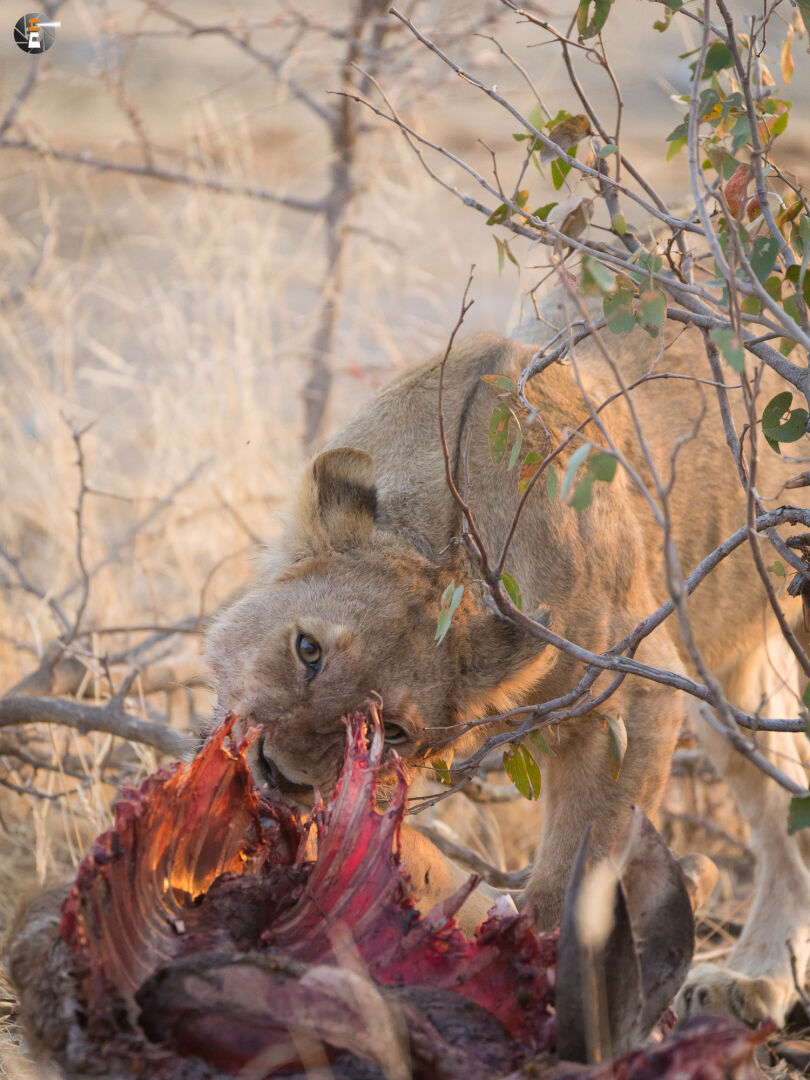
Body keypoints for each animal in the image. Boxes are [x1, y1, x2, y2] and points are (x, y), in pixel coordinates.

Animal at [205, 287, 810, 1030]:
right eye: (307, 650)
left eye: (393, 732)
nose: (282, 777)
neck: (445, 543)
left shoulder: (636, 692)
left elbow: (580, 871)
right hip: (735, 693)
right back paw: (755, 977)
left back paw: (750, 981)